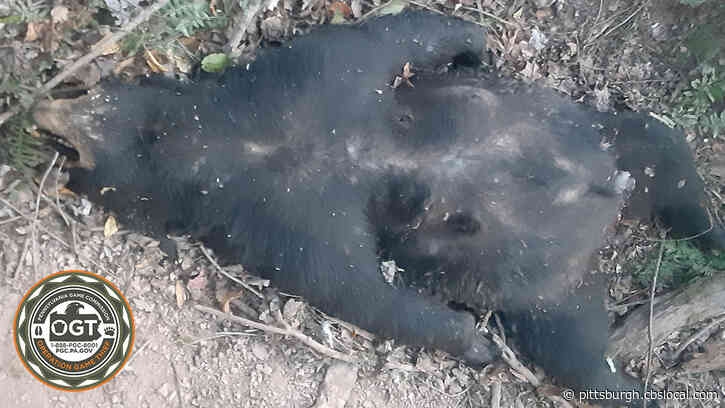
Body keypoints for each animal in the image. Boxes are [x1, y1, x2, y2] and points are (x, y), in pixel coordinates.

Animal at [32, 10, 724, 407]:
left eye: (98, 89)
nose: (48, 109)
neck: (229, 138)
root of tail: (603, 214)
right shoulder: (282, 223)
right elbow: (359, 288)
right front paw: (473, 340)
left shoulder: (313, 80)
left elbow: (391, 34)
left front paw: (476, 42)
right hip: (552, 292)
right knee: (580, 353)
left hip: (601, 138)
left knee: (666, 152)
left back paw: (710, 242)